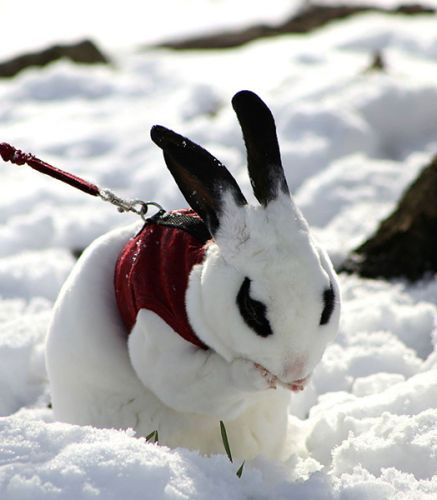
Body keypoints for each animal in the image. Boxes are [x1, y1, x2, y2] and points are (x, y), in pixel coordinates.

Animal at [44, 91, 338, 460]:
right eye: (252, 308)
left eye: (328, 301)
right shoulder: (158, 336)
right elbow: (195, 382)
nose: (296, 374)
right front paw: (257, 376)